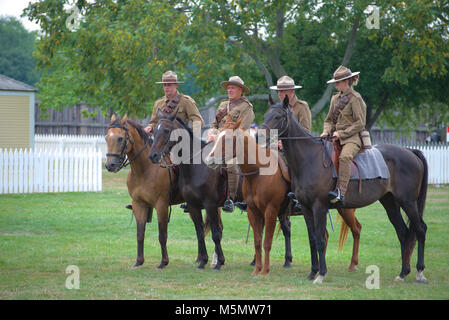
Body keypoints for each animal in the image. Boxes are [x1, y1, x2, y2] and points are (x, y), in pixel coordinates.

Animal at [104, 114, 183, 268]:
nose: (110, 165)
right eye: (106, 137)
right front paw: (139, 261)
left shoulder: (161, 205)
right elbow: (140, 234)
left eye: (120, 138)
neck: (145, 170)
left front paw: (163, 262)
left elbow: (162, 235)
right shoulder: (138, 204)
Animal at [150, 110, 228, 270]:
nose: (153, 155)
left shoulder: (210, 205)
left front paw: (219, 263)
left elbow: (215, 234)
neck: (196, 166)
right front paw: (203, 261)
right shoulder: (193, 206)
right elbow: (199, 232)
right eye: (154, 130)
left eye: (166, 130)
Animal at [262, 95, 428, 284]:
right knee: (403, 232)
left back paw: (419, 272)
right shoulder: (306, 208)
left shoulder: (319, 207)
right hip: (390, 203)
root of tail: (410, 151)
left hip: (408, 202)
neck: (309, 159)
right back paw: (403, 272)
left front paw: (321, 274)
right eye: (266, 114)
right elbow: (312, 239)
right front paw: (312, 272)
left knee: (420, 229)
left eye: (277, 117)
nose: (259, 135)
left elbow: (320, 239)